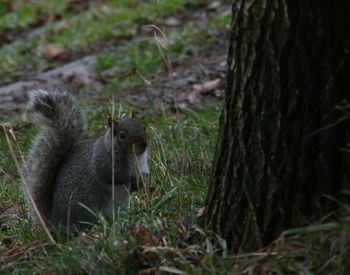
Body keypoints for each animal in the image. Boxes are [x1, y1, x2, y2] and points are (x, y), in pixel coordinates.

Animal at [23, 91, 149, 233]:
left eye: (143, 127)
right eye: (122, 135)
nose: (143, 144)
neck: (133, 156)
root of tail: (56, 222)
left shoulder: (142, 164)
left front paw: (143, 180)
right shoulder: (104, 162)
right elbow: (117, 176)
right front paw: (133, 180)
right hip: (86, 208)